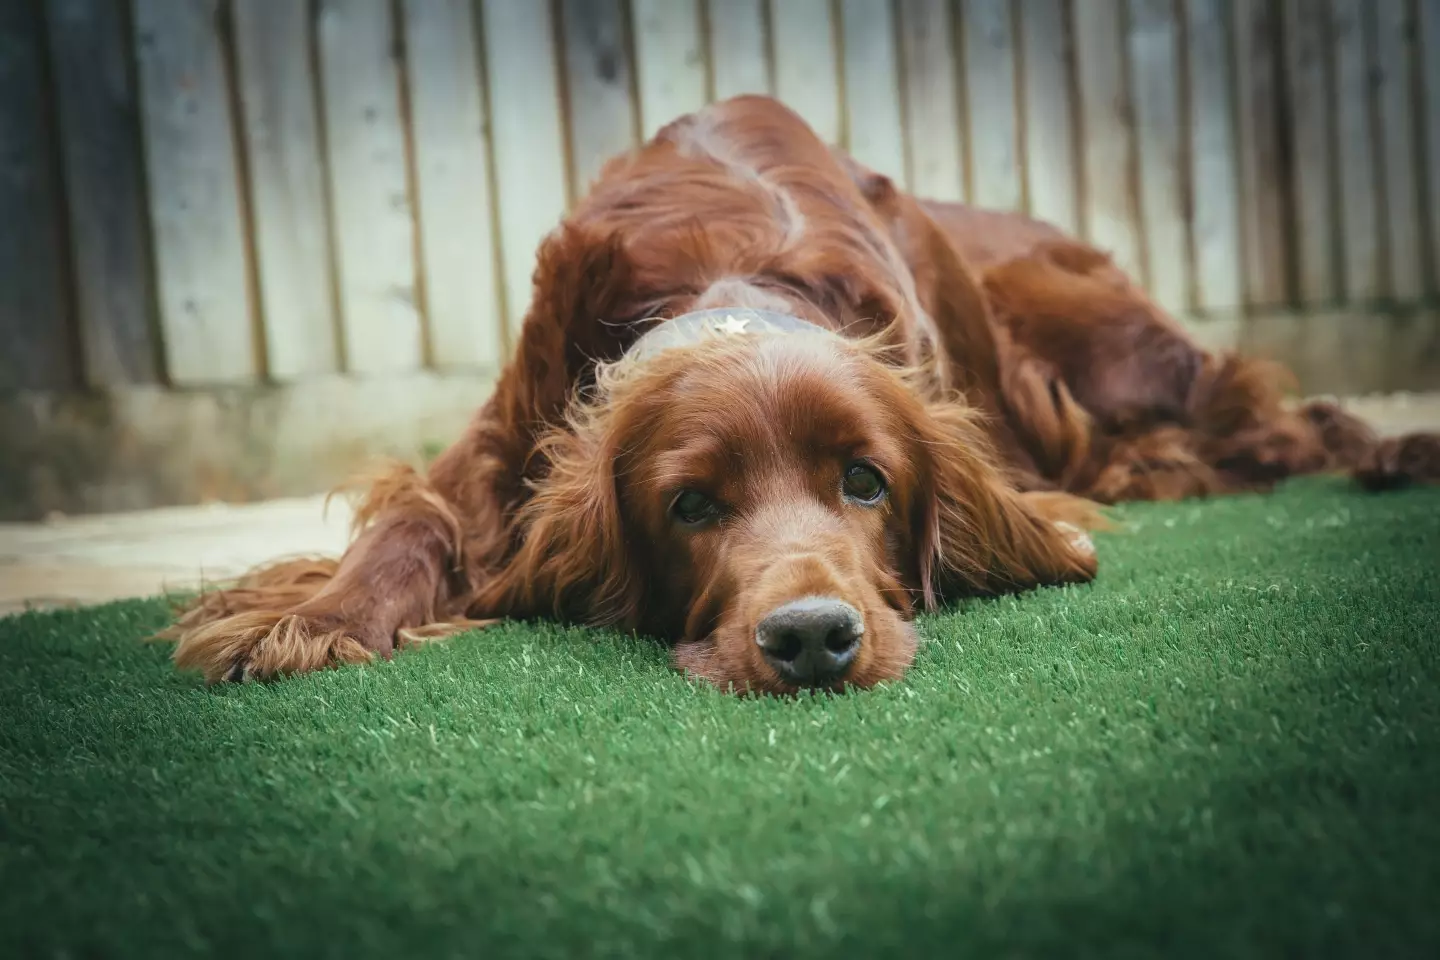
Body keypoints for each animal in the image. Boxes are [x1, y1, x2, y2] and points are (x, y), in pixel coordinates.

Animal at [165, 97, 1428, 693]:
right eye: (690, 506)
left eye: (866, 483)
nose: (814, 636)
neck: (733, 272)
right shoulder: (493, 449)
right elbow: (415, 526)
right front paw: (317, 616)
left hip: (1124, 356)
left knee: (1290, 416)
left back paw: (1398, 455)